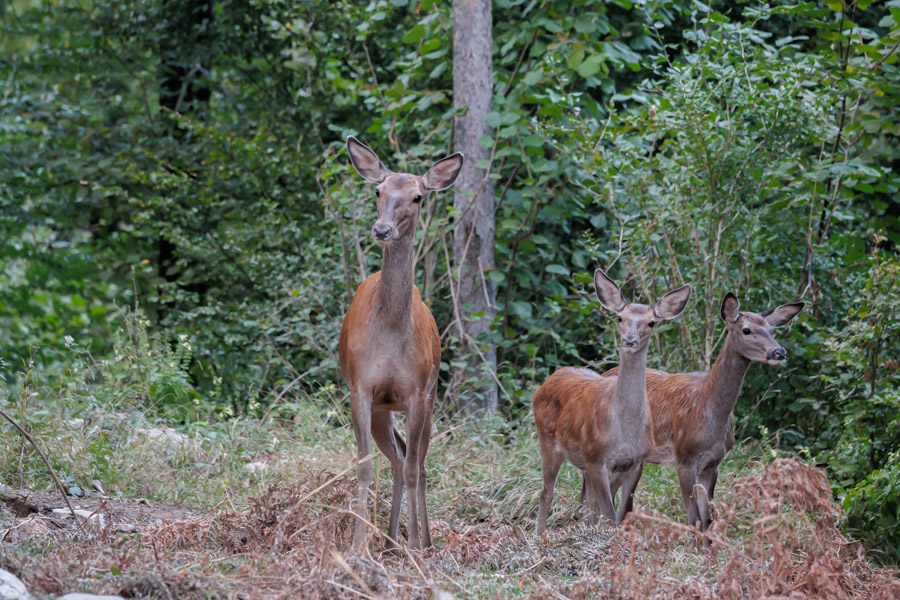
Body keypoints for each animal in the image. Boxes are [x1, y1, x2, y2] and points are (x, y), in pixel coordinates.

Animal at [338, 137, 464, 552]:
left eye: (417, 197)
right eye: (378, 190)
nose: (382, 229)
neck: (391, 333)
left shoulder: (415, 392)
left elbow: (413, 469)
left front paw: (415, 549)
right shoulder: (361, 388)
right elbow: (365, 466)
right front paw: (358, 546)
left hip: (432, 396)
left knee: (418, 463)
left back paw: (421, 541)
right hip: (383, 408)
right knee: (396, 457)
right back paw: (391, 540)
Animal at [532, 270, 692, 532]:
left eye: (651, 322)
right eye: (619, 317)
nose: (630, 340)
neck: (623, 429)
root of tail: (549, 380)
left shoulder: (637, 461)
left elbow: (622, 511)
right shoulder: (596, 457)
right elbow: (608, 513)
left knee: (586, 503)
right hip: (548, 442)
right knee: (547, 492)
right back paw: (539, 534)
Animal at [600, 292, 804, 532]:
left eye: (771, 330)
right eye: (746, 330)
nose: (779, 352)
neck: (710, 413)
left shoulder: (713, 463)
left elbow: (708, 518)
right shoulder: (684, 458)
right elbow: (695, 519)